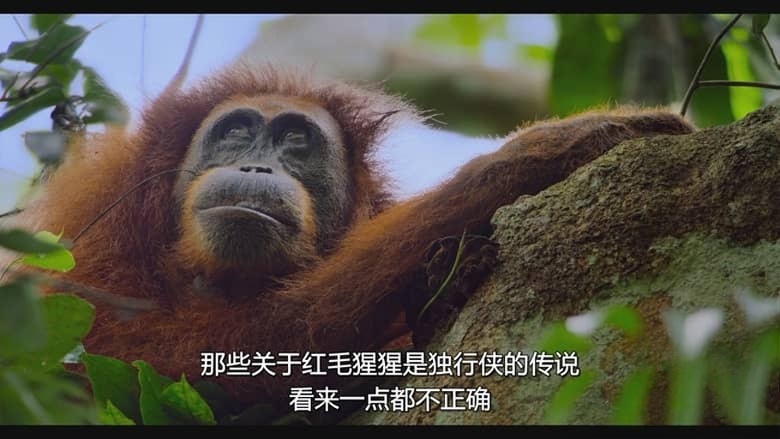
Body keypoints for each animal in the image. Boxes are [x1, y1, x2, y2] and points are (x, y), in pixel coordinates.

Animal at [3, 64, 694, 412]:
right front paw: (536, 152)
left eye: (296, 141)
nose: (258, 167)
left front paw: (441, 286)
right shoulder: (92, 230)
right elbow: (126, 349)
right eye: (236, 132)